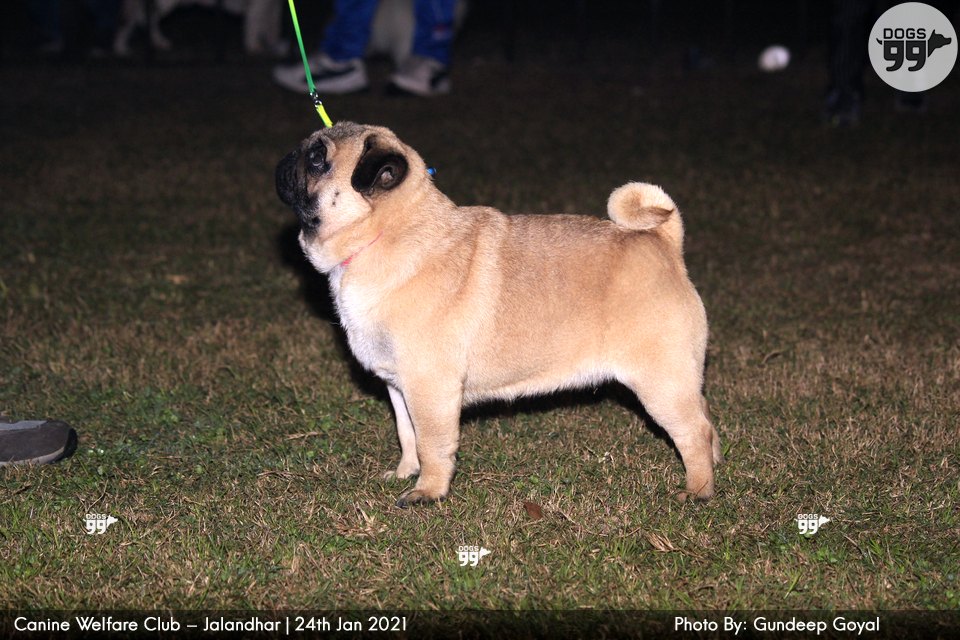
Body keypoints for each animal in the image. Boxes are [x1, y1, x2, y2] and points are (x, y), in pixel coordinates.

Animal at [275, 122, 722, 506]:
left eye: (317, 158)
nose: (286, 158)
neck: (388, 234)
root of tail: (664, 242)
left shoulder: (429, 387)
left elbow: (431, 442)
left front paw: (428, 491)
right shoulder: (399, 386)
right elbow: (407, 434)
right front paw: (405, 472)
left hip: (658, 380)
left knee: (693, 430)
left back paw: (698, 490)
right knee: (704, 414)